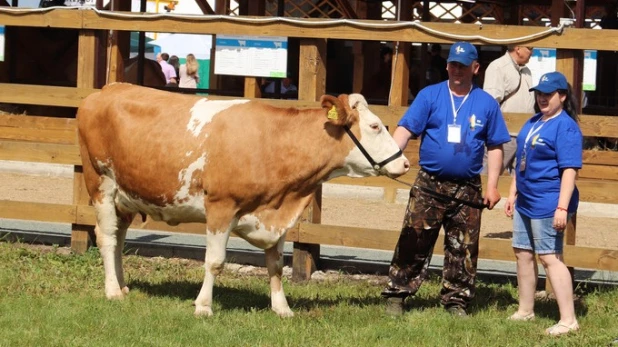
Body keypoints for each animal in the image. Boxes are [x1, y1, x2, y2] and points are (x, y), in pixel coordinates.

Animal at [76, 83, 410, 316]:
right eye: (375, 126)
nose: (405, 163)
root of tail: (105, 91)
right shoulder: (220, 207)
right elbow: (214, 261)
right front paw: (203, 306)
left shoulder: (277, 213)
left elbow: (276, 265)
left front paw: (282, 308)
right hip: (100, 183)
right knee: (107, 238)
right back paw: (112, 290)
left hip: (127, 197)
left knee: (119, 240)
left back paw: (122, 285)